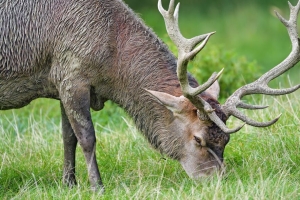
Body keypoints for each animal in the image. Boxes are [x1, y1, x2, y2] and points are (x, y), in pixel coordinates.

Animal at [0, 0, 298, 191]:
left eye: (226, 140)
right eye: (198, 139)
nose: (218, 182)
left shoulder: (61, 82)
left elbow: (67, 138)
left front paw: (69, 184)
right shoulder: (72, 75)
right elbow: (86, 138)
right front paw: (97, 187)